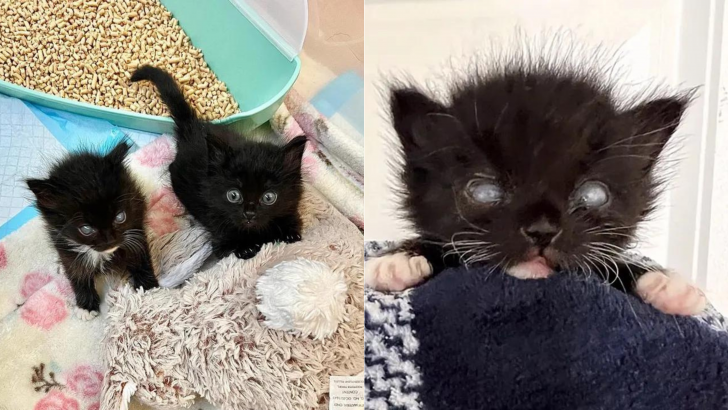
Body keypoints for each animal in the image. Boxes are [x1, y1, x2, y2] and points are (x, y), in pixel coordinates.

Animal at [27, 142, 158, 318]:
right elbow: (76, 271)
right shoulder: (63, 244)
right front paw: (86, 306)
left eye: (120, 217)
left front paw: (148, 288)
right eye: (86, 229)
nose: (110, 240)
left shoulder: (135, 227)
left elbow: (139, 256)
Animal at [131, 66, 308, 260]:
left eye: (269, 197)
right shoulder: (218, 231)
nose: (249, 213)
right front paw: (246, 247)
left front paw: (289, 233)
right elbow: (228, 245)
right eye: (233, 195)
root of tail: (193, 126)